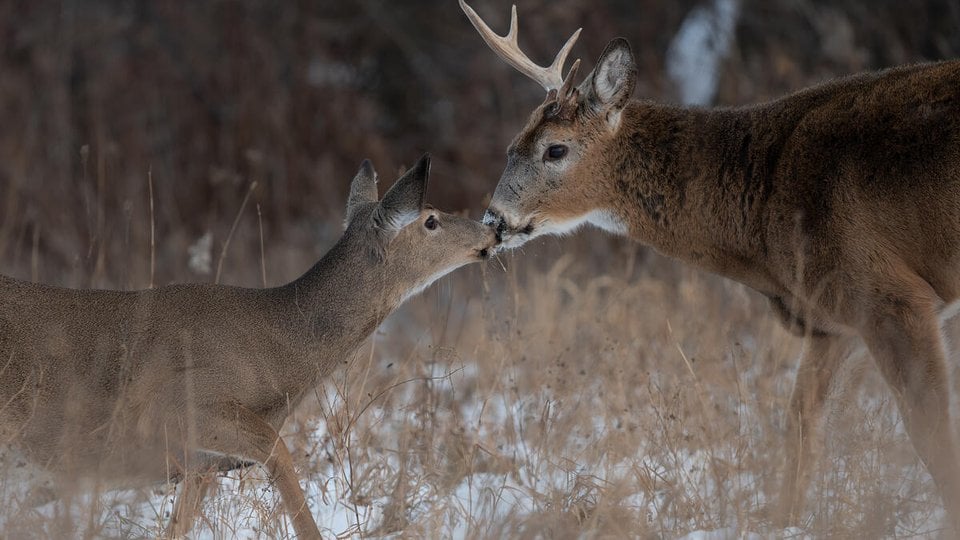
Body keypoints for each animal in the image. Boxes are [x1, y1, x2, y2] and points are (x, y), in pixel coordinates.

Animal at [0, 154, 497, 538]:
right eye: (431, 220)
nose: (491, 232)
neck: (278, 350)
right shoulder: (177, 405)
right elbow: (280, 455)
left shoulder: (201, 463)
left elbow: (179, 526)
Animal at [460, 0, 960, 529]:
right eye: (512, 145)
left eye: (555, 149)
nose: (494, 220)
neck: (763, 205)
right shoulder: (831, 323)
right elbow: (801, 427)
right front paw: (785, 519)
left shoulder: (890, 295)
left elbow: (931, 432)